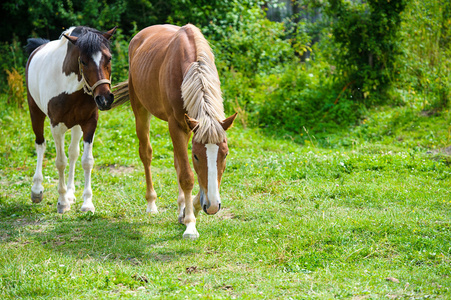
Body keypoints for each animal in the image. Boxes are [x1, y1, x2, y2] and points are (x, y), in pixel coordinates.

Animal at [25, 25, 117, 213]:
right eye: (83, 61)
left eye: (109, 58)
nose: (105, 99)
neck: (71, 89)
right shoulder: (56, 126)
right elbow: (60, 162)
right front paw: (62, 202)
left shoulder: (89, 123)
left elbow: (86, 161)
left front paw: (87, 203)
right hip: (35, 113)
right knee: (40, 145)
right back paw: (37, 189)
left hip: (76, 126)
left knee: (73, 153)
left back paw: (70, 193)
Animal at [114, 24, 237, 239]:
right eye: (196, 156)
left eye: (225, 154)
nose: (213, 206)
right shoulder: (176, 125)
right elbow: (187, 176)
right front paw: (190, 225)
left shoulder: (189, 126)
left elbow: (185, 170)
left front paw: (190, 209)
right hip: (141, 111)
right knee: (146, 154)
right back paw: (151, 204)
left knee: (176, 162)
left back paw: (181, 207)